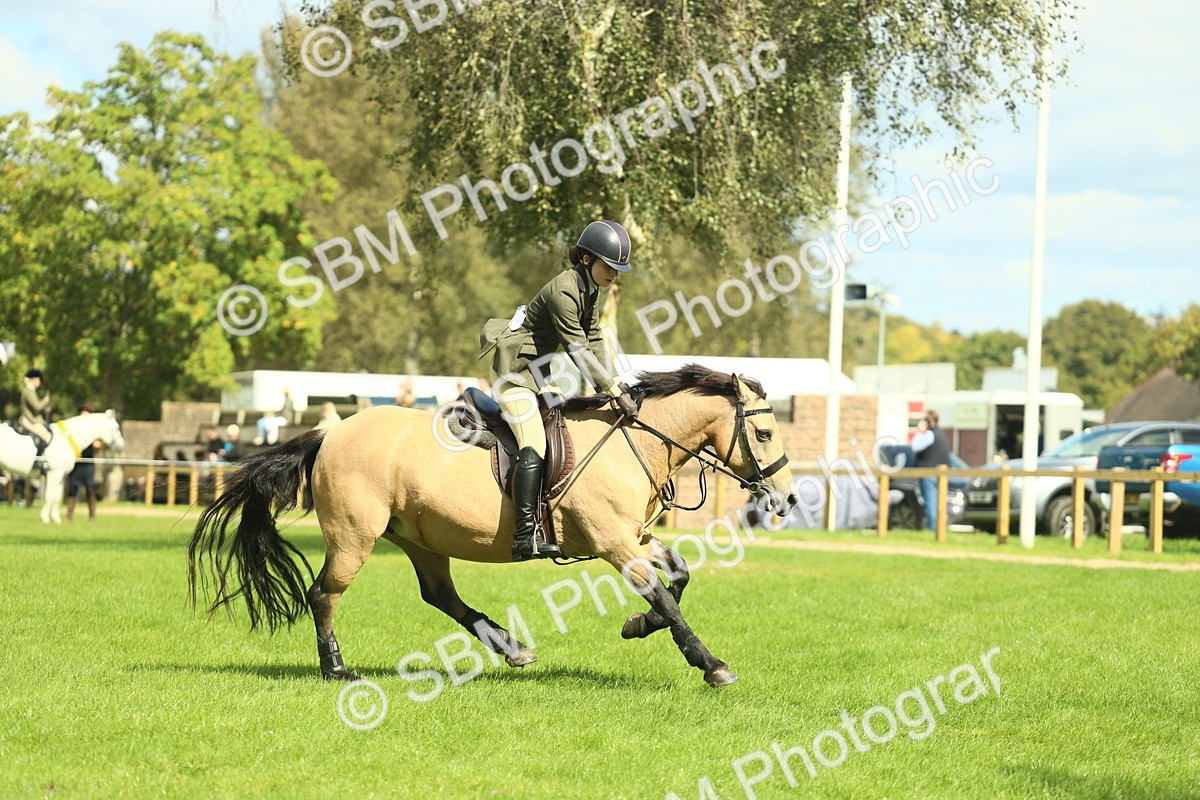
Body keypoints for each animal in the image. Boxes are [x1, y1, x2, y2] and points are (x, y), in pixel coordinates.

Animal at [188, 365, 798, 687]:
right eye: (765, 434)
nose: (789, 498)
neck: (634, 441)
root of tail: (328, 432)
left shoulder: (637, 538)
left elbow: (679, 576)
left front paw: (635, 626)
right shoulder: (613, 543)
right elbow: (667, 597)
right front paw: (710, 664)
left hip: (419, 538)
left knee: (439, 595)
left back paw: (512, 648)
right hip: (354, 538)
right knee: (323, 595)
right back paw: (336, 668)